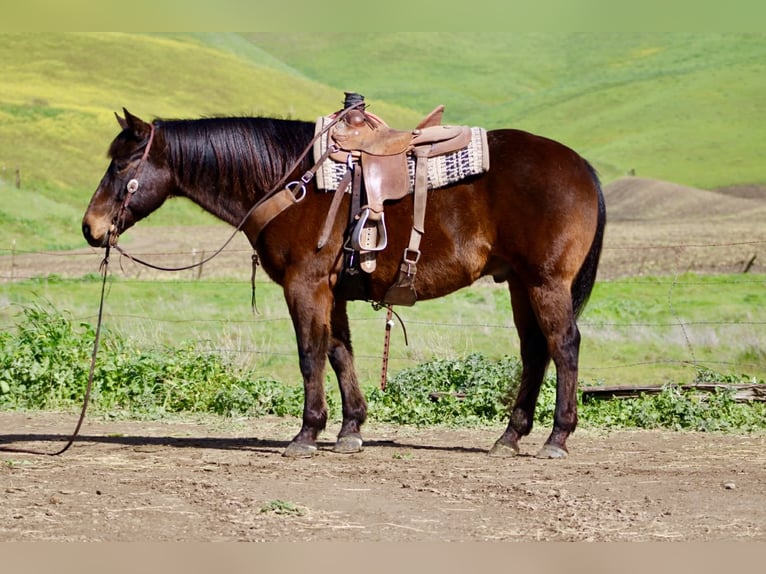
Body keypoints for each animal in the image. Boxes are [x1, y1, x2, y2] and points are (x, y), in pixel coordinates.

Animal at [82, 107, 606, 459]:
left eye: (122, 164)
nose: (91, 227)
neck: (290, 181)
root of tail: (580, 166)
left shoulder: (305, 284)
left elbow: (310, 354)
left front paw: (307, 433)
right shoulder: (330, 291)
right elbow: (339, 351)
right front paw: (351, 429)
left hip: (545, 282)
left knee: (563, 345)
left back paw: (557, 437)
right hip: (520, 284)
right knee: (535, 352)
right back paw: (510, 436)